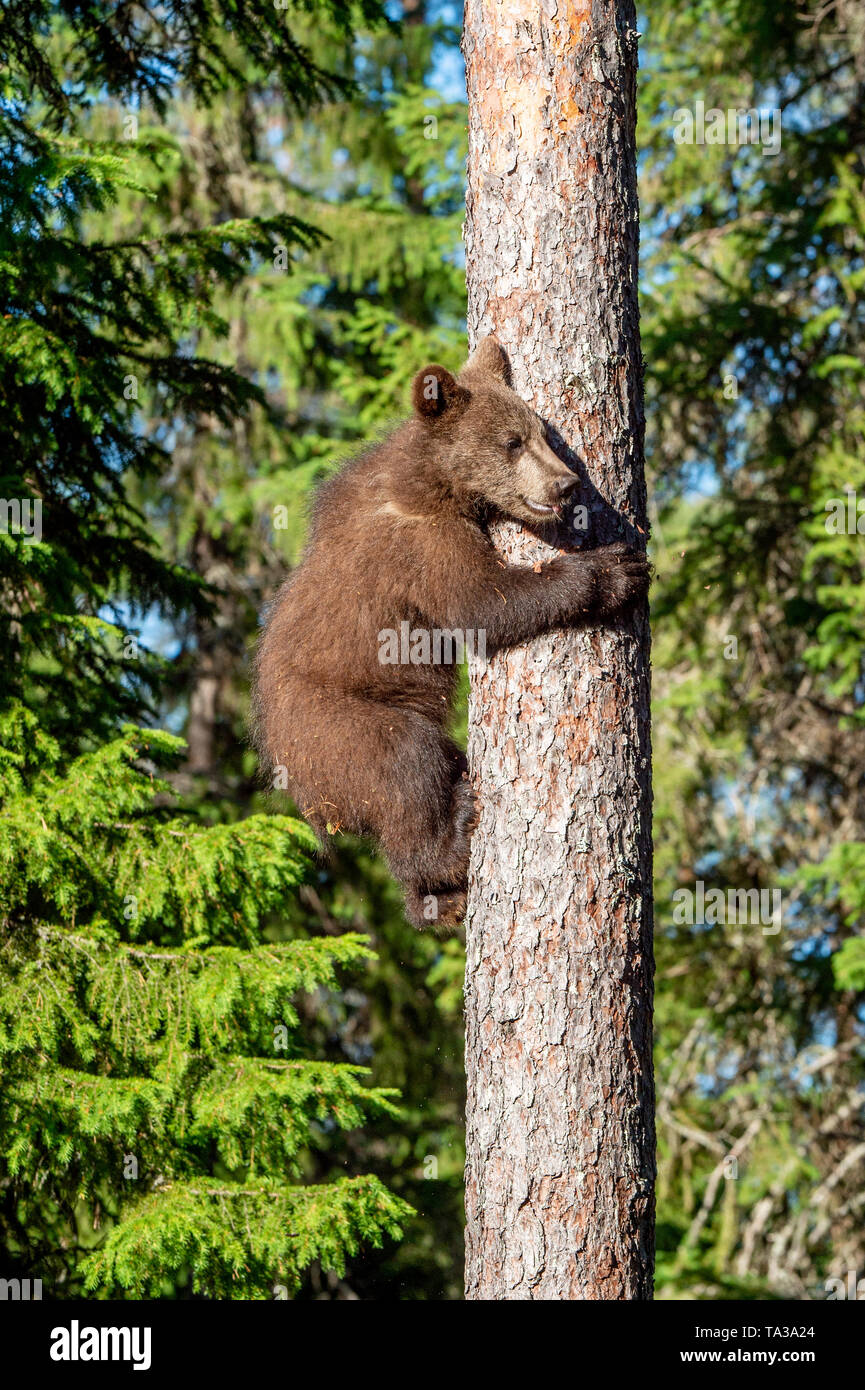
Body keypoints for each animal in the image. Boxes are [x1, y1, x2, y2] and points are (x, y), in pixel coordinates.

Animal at [251, 336, 650, 929]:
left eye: (542, 433)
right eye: (511, 442)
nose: (566, 483)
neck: (435, 482)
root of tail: (295, 786)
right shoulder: (421, 546)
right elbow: (484, 603)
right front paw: (612, 568)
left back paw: (435, 901)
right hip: (332, 727)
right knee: (404, 762)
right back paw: (454, 837)